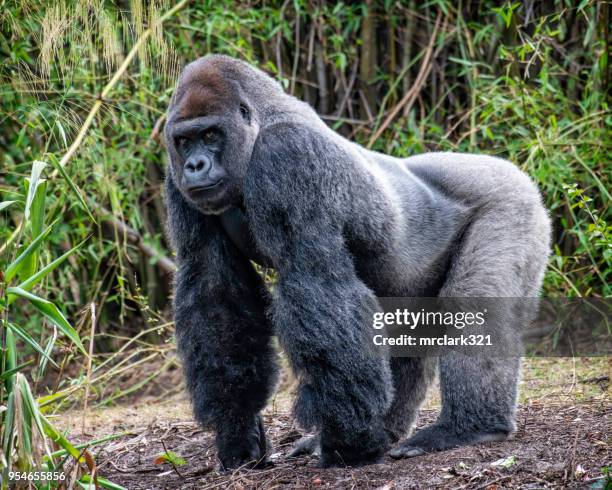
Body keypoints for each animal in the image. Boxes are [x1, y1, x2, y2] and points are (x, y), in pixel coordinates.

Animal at [163, 54, 548, 470]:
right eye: (184, 141)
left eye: (211, 135)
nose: (195, 166)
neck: (258, 126)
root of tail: (512, 170)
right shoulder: (178, 183)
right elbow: (214, 292)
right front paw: (238, 430)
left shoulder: (288, 155)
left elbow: (316, 282)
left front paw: (348, 444)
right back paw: (390, 428)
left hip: (512, 202)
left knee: (473, 305)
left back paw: (470, 426)